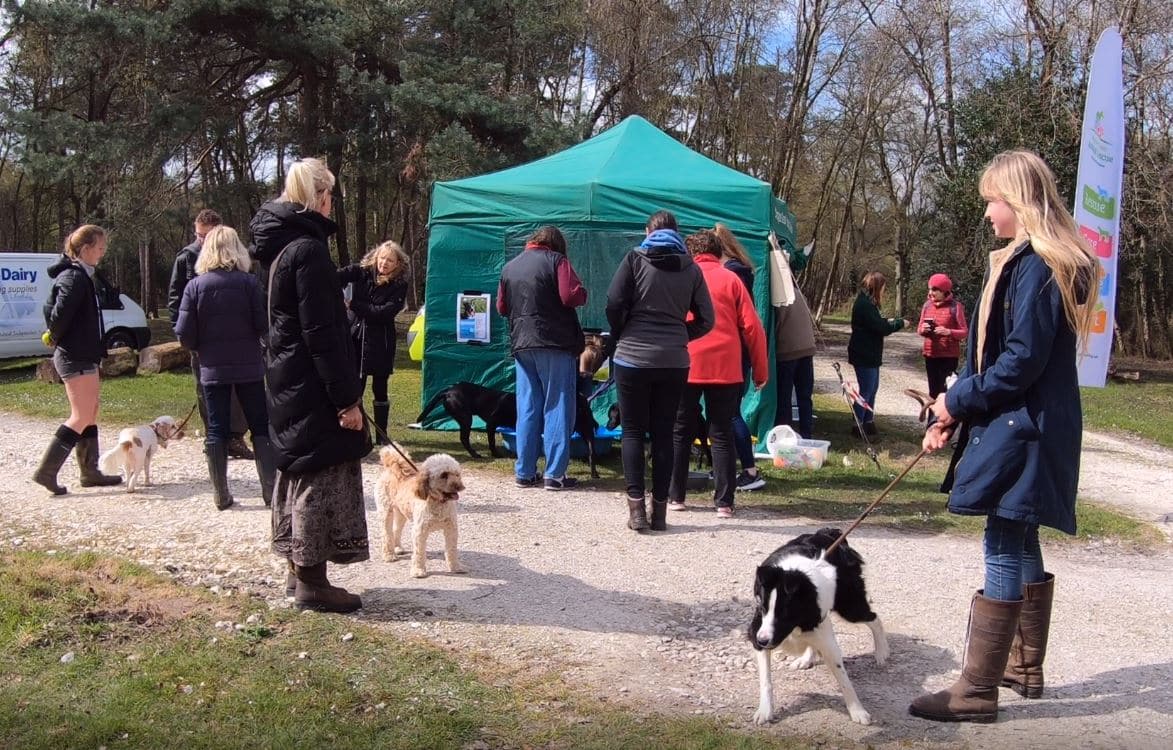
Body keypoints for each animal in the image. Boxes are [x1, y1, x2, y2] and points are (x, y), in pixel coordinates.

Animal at [375, 446, 466, 582]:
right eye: (443, 475)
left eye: (457, 474)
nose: (460, 486)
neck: (437, 502)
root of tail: (391, 469)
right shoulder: (420, 531)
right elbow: (419, 552)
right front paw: (418, 571)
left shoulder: (451, 529)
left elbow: (452, 550)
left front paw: (456, 567)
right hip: (385, 511)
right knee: (386, 534)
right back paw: (389, 555)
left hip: (401, 513)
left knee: (396, 530)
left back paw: (398, 548)